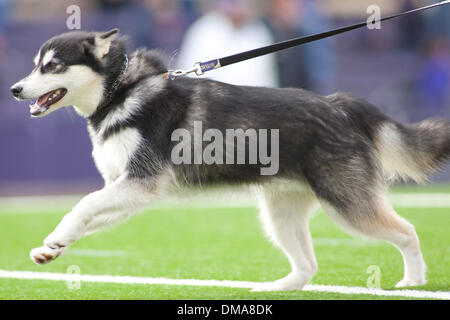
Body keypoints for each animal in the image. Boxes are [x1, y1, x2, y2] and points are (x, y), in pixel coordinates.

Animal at [11, 29, 450, 290]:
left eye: (53, 66)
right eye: (35, 65)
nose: (15, 89)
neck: (120, 91)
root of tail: (340, 104)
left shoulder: (140, 181)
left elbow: (83, 204)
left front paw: (57, 238)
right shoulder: (129, 191)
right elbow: (86, 215)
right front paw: (54, 246)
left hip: (347, 207)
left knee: (407, 231)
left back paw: (413, 281)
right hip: (279, 214)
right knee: (307, 267)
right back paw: (278, 288)